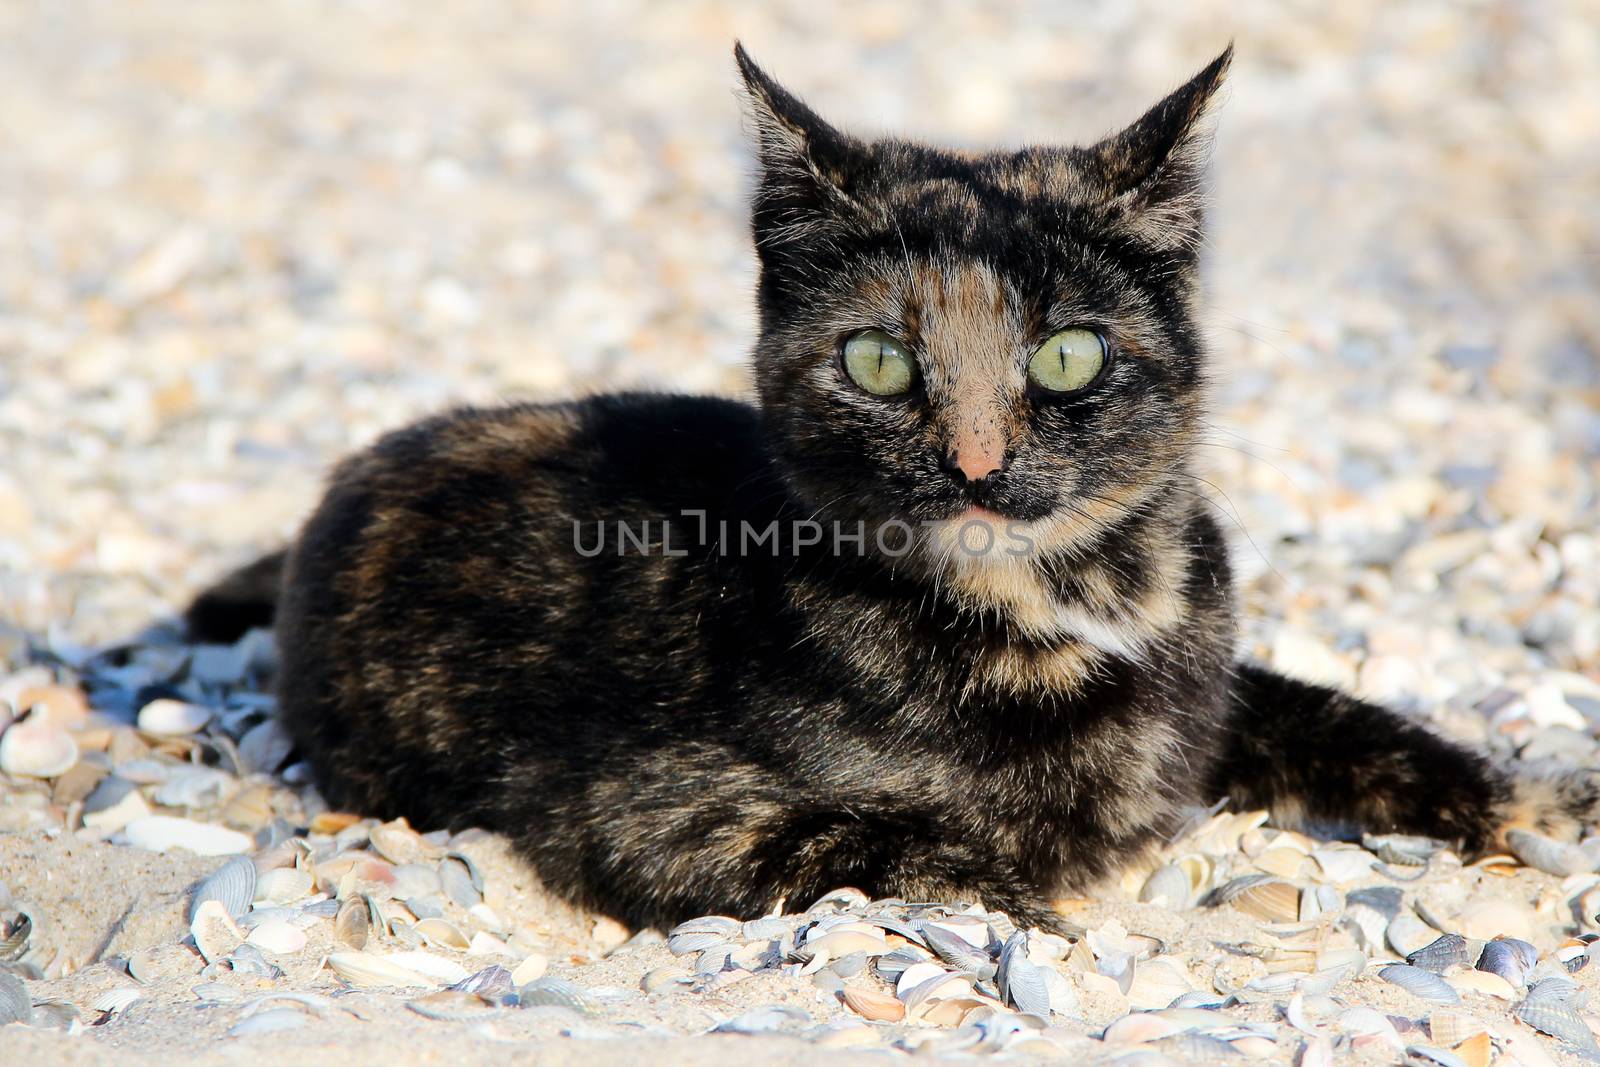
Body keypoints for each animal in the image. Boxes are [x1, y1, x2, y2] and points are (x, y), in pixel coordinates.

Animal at [190, 43, 1600, 934]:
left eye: (1069, 353)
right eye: (877, 360)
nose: (975, 462)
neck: (1074, 606)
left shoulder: (1218, 689)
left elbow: (1359, 723)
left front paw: (1540, 796)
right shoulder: (650, 810)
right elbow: (908, 843)